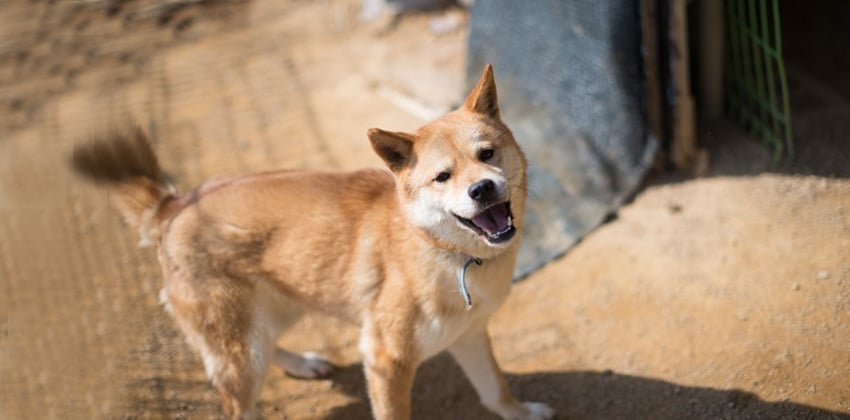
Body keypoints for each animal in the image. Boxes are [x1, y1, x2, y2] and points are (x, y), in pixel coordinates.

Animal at [71, 65, 548, 420]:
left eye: (487, 154)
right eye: (443, 177)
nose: (482, 189)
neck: (451, 255)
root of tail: (174, 205)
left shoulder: (469, 336)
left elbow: (495, 390)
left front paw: (522, 412)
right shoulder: (386, 358)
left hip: (277, 311)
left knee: (270, 345)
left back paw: (304, 363)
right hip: (241, 351)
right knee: (239, 403)